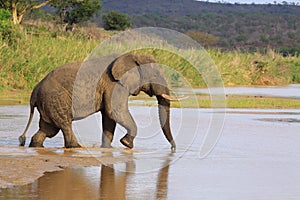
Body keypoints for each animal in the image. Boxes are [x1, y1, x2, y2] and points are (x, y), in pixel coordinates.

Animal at [18, 53, 177, 152]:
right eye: (155, 75)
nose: (173, 148)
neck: (131, 56)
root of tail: (34, 91)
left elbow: (109, 117)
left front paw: (108, 149)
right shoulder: (114, 84)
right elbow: (115, 112)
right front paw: (126, 144)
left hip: (48, 103)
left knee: (48, 128)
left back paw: (36, 146)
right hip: (55, 99)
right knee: (64, 124)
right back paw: (78, 147)